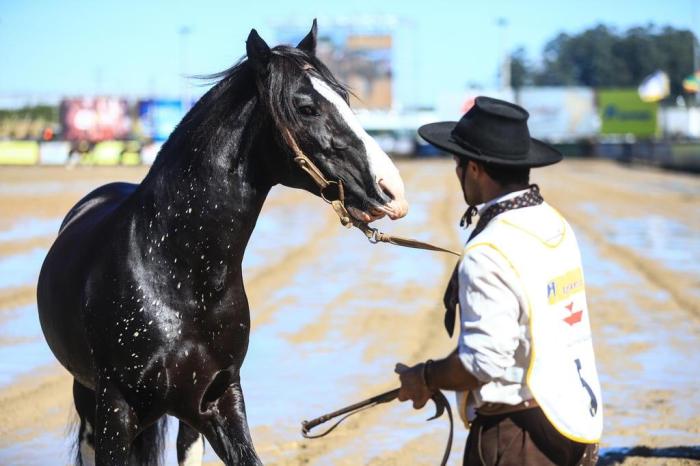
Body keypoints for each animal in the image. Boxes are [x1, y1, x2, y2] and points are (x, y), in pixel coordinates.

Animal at [38, 22, 408, 466]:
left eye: (345, 97)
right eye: (306, 107)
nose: (392, 191)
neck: (174, 273)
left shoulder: (220, 400)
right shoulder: (116, 409)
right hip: (90, 400)